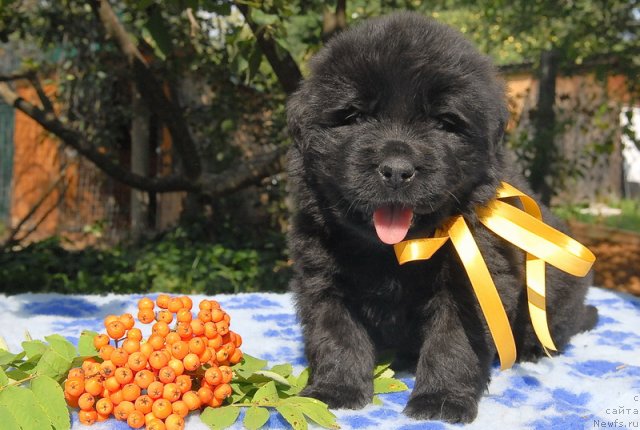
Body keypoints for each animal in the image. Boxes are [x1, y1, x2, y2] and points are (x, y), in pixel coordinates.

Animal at [284, 11, 596, 422]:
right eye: (355, 115)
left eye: (444, 122)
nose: (397, 169)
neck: (394, 250)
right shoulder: (323, 280)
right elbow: (337, 335)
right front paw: (335, 390)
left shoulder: (473, 280)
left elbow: (452, 344)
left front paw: (441, 400)